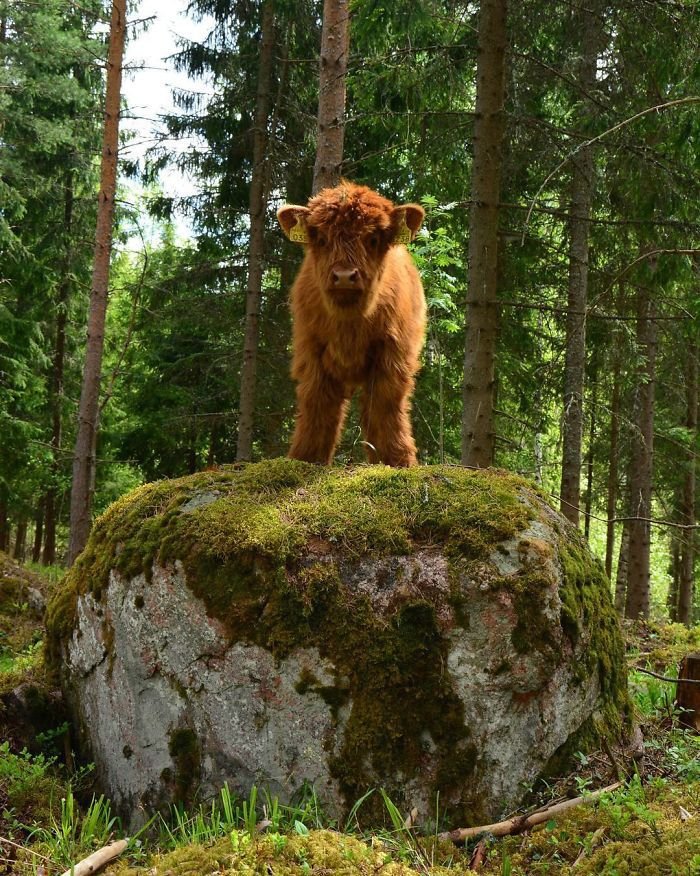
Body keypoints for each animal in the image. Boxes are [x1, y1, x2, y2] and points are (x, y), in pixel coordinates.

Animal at [276, 178, 424, 466]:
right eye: (322, 239)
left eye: (373, 238)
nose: (344, 276)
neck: (349, 324)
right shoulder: (310, 351)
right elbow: (317, 403)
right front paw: (307, 457)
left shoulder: (393, 356)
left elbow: (386, 406)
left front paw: (397, 460)